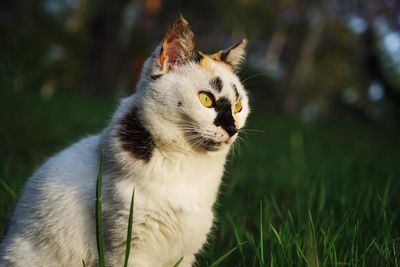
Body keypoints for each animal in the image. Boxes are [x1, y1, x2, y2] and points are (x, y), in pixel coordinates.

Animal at [0, 17, 250, 267]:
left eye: (238, 106)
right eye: (206, 99)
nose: (232, 129)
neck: (187, 165)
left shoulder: (185, 254)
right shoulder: (128, 246)